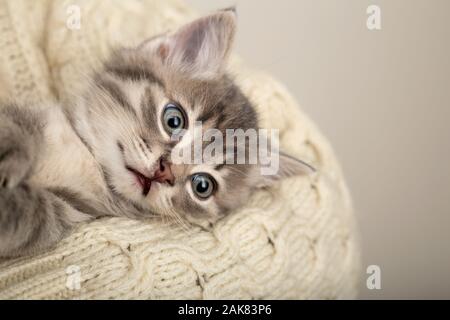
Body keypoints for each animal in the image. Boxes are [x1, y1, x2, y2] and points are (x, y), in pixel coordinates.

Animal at [0, 9, 312, 258]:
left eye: (202, 186)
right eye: (174, 119)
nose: (165, 172)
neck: (87, 158)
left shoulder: (63, 210)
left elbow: (29, 214)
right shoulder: (28, 119)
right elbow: (15, 130)